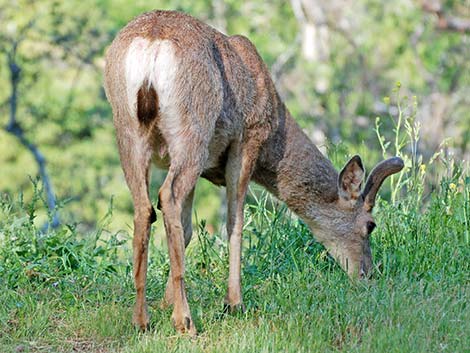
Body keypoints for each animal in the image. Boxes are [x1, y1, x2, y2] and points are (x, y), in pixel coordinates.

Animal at [103, 10, 404, 336]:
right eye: (370, 225)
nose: (367, 274)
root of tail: (151, 45)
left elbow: (187, 228)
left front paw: (165, 302)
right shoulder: (248, 138)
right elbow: (235, 222)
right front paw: (233, 303)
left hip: (127, 131)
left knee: (145, 208)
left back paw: (142, 319)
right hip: (192, 129)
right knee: (167, 197)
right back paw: (185, 321)